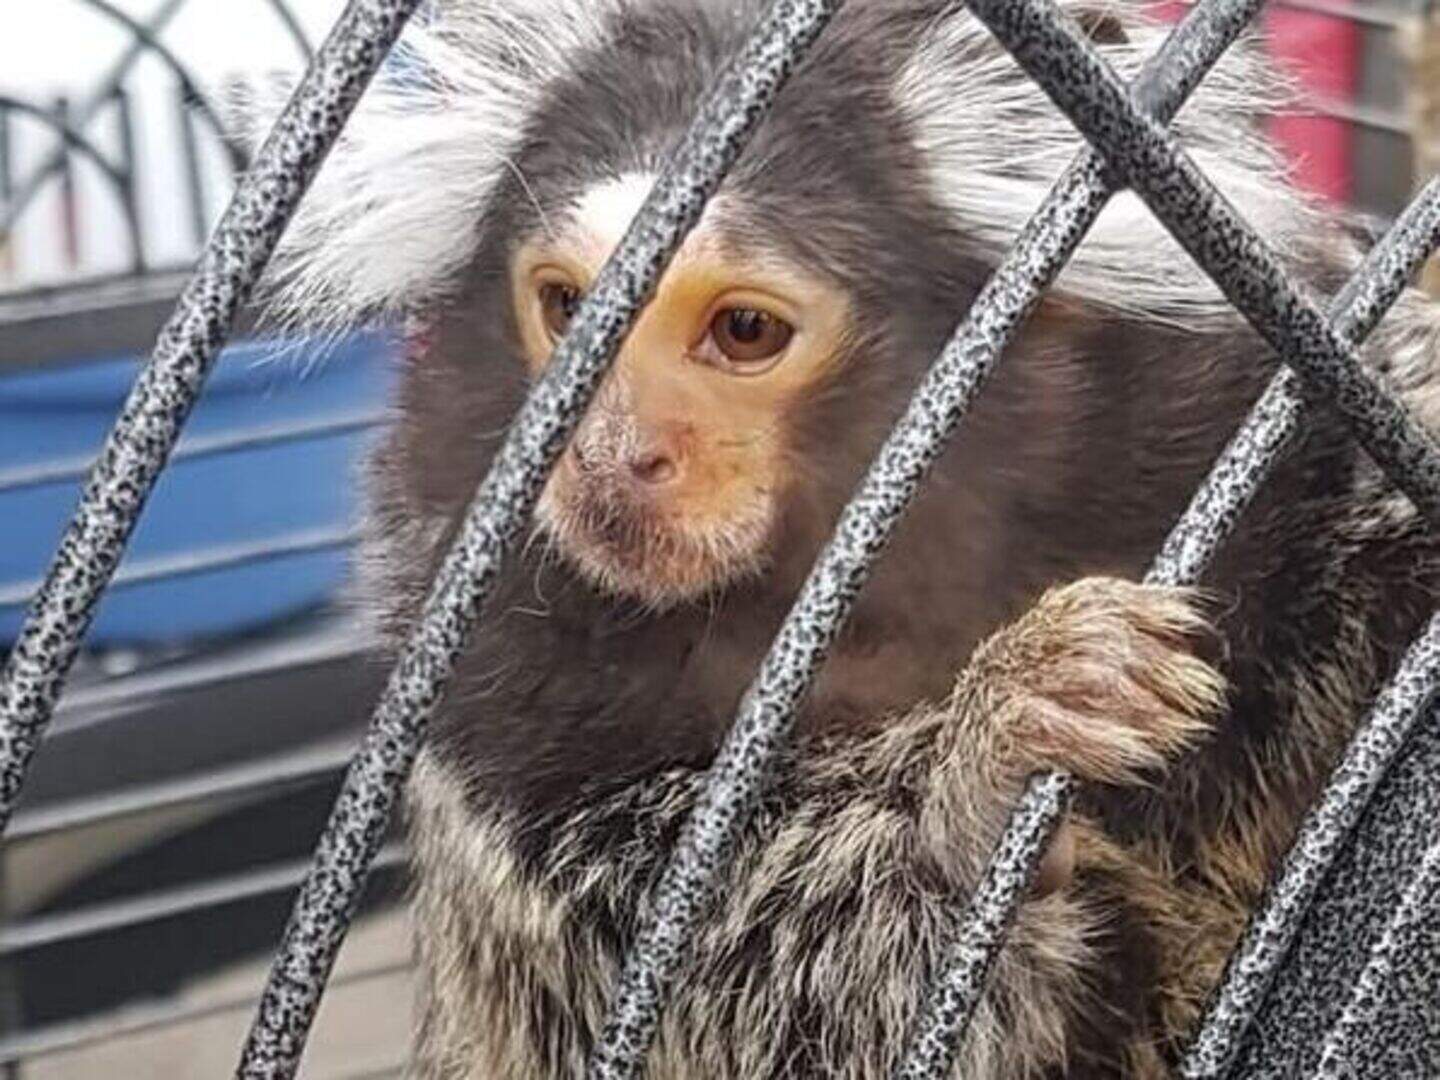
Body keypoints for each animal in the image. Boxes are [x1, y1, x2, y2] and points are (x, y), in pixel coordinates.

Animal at [242, 0, 1440, 1075]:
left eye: (743, 331)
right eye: (566, 307)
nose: (610, 457)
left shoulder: (1272, 468)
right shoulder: (502, 752)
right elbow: (759, 991)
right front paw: (983, 777)